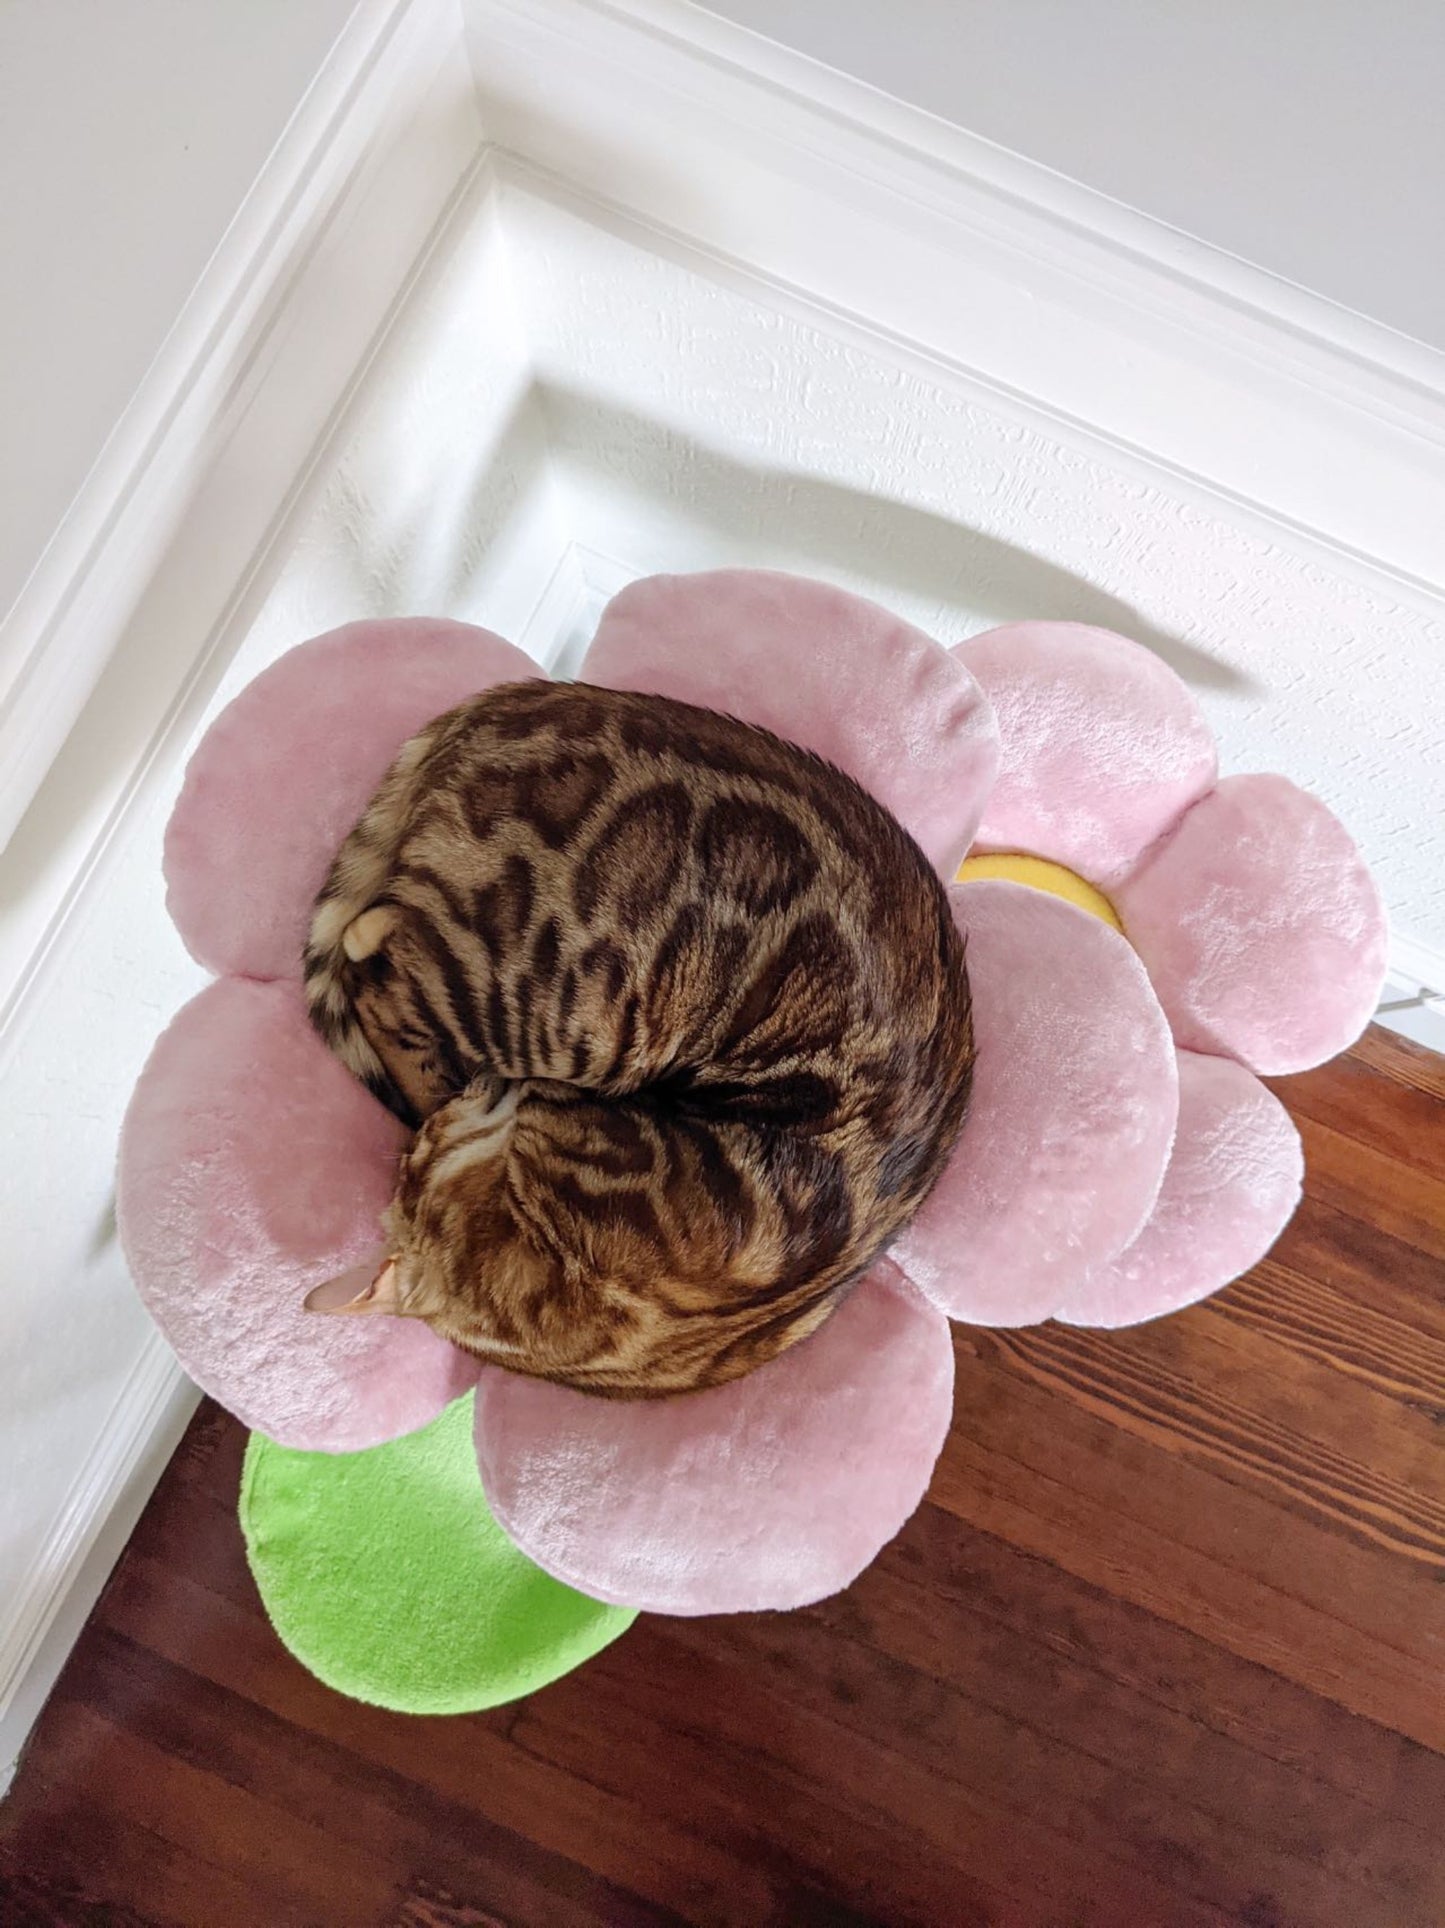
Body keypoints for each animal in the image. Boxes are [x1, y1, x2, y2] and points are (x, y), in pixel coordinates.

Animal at [308, 682, 976, 1403]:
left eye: (422, 1155)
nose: (439, 1121)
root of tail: (507, 699)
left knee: (377, 952)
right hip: (560, 1005)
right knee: (376, 979)